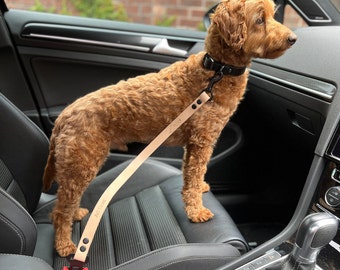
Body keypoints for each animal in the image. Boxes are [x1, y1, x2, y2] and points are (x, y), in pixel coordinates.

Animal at [43, 0, 296, 256]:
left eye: (273, 15)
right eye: (259, 19)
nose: (293, 38)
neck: (217, 70)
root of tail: (64, 116)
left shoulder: (192, 143)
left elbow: (191, 176)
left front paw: (198, 191)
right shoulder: (202, 140)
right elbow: (195, 175)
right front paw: (196, 211)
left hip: (78, 165)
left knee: (67, 200)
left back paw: (77, 213)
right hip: (82, 162)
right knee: (60, 210)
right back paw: (64, 245)